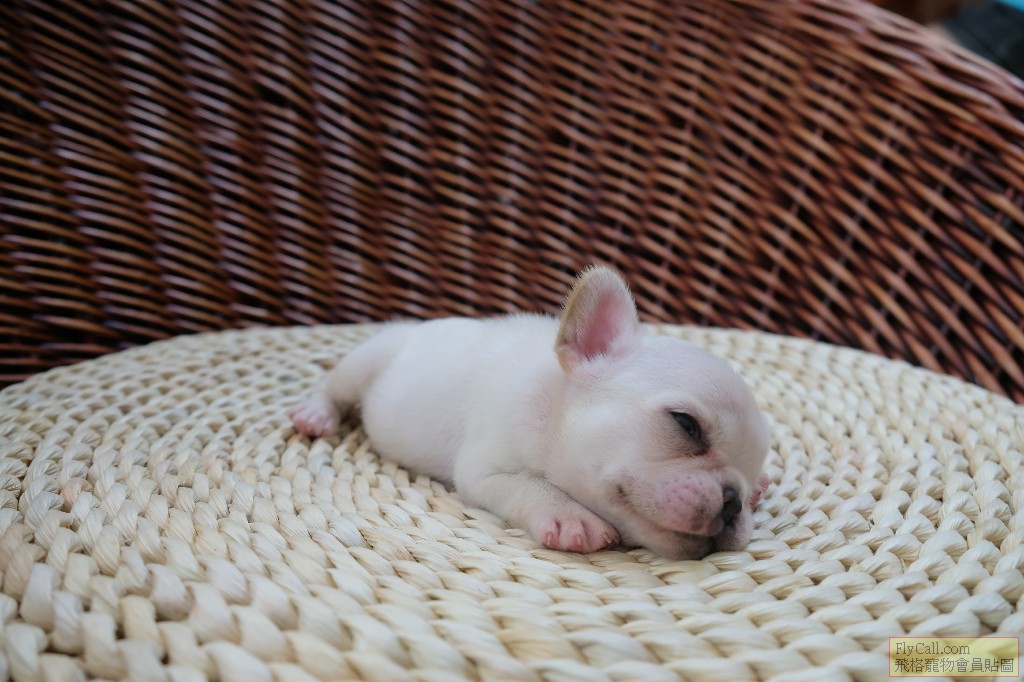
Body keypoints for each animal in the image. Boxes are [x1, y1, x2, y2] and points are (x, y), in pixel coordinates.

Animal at [290, 265, 770, 558]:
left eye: (746, 487)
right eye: (686, 424)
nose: (734, 502)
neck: (551, 403)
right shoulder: (485, 471)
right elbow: (530, 486)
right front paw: (572, 515)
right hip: (366, 360)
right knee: (332, 386)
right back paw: (316, 413)